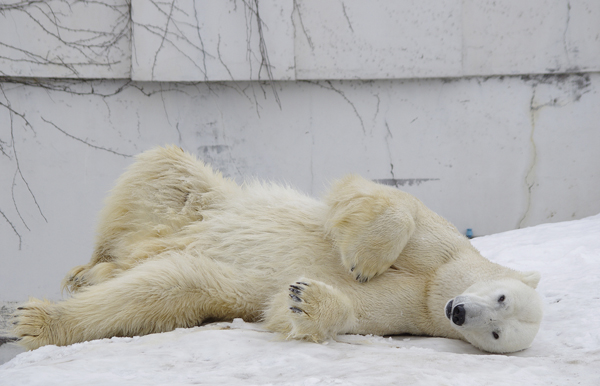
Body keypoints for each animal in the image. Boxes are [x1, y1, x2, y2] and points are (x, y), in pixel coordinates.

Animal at [12, 145, 544, 352]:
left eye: (497, 333)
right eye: (501, 296)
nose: (459, 312)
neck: (436, 289)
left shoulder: (411, 313)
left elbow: (337, 310)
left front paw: (306, 299)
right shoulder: (443, 251)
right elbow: (381, 199)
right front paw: (363, 260)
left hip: (204, 267)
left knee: (170, 285)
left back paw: (45, 316)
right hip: (198, 200)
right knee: (161, 171)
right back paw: (85, 272)